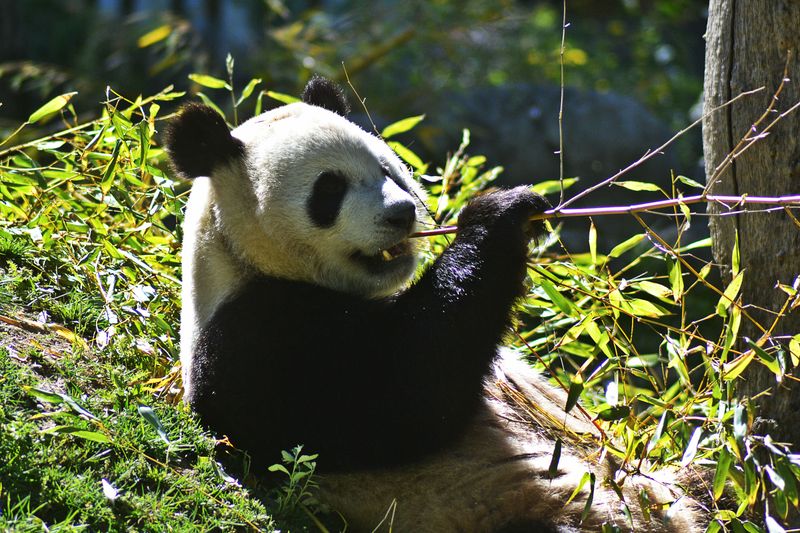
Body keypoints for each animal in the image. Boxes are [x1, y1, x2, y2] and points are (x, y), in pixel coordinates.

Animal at [164, 77, 703, 532]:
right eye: (329, 189)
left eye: (387, 169)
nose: (401, 214)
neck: (240, 258)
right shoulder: (257, 341)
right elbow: (403, 402)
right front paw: (496, 215)